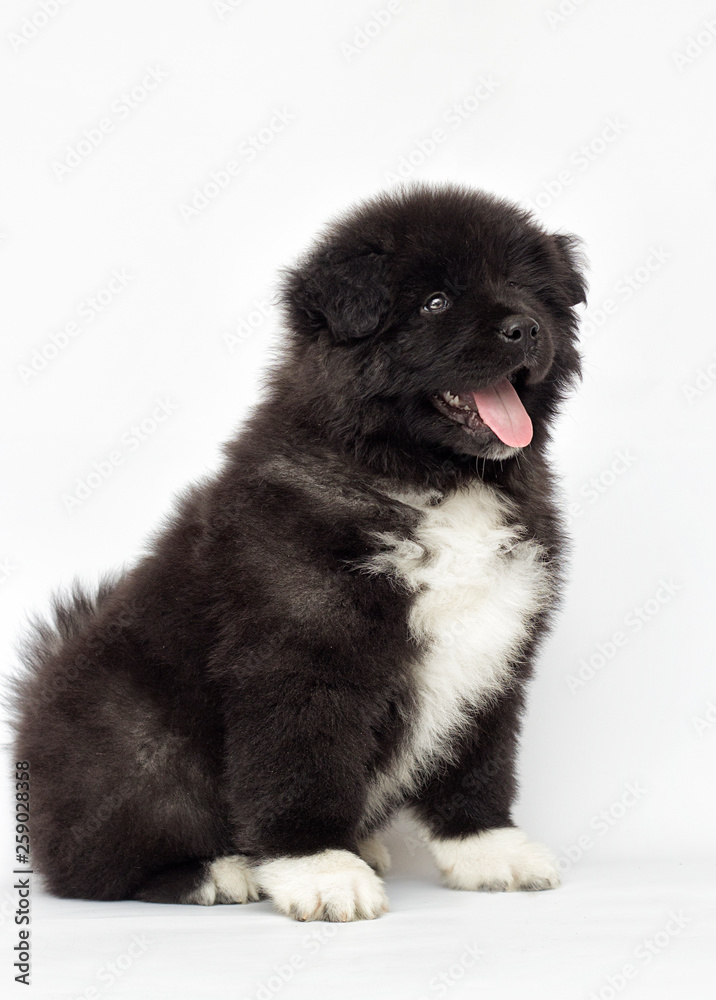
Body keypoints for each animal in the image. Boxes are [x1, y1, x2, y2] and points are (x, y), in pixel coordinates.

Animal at [12, 186, 588, 920]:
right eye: (435, 302)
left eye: (528, 290)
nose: (526, 329)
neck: (432, 479)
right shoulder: (301, 654)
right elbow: (300, 769)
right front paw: (318, 869)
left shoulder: (494, 647)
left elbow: (478, 760)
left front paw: (486, 847)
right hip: (139, 743)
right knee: (94, 862)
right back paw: (218, 872)